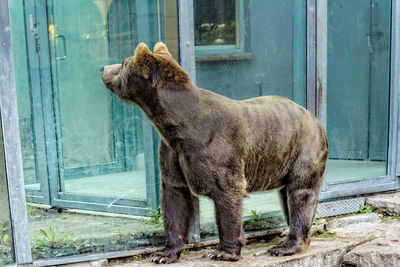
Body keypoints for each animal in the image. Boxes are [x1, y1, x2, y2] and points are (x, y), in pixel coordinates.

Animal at [101, 43, 328, 264]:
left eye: (124, 62)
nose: (103, 68)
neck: (176, 126)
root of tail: (314, 118)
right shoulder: (173, 154)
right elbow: (174, 200)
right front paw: (163, 254)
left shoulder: (217, 151)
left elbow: (227, 196)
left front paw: (223, 252)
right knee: (287, 196)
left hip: (304, 150)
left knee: (300, 193)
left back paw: (285, 246)